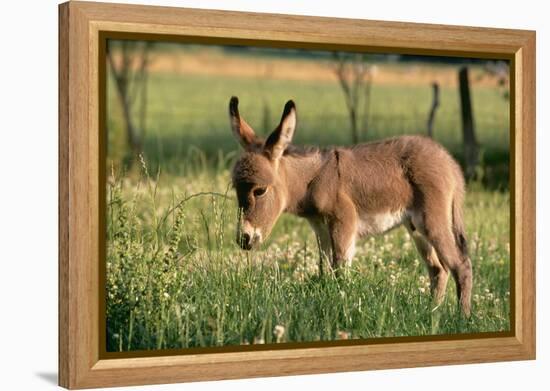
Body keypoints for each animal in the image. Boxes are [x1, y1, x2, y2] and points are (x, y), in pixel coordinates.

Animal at [229, 96, 474, 316]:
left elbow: (340, 271)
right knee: (438, 269)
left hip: (432, 221)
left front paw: (340, 306)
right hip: (415, 228)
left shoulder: (343, 222)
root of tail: (450, 163)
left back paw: (461, 318)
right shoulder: (321, 228)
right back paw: (433, 312)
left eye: (260, 191)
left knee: (461, 265)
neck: (314, 180)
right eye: (235, 189)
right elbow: (324, 271)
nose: (244, 240)